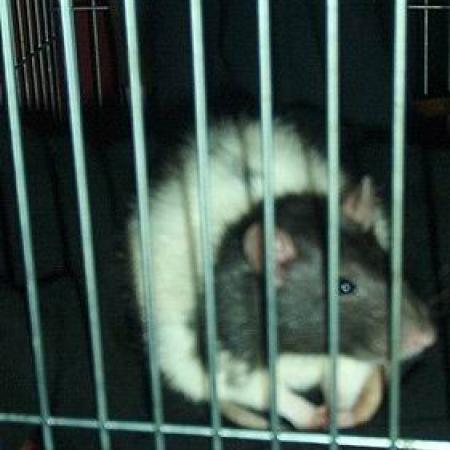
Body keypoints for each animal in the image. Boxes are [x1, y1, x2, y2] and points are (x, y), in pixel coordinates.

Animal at [128, 116, 436, 429]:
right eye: (345, 286)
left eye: (387, 265)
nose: (427, 338)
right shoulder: (226, 345)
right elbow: (257, 389)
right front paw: (309, 415)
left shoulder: (352, 351)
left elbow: (349, 375)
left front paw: (341, 414)